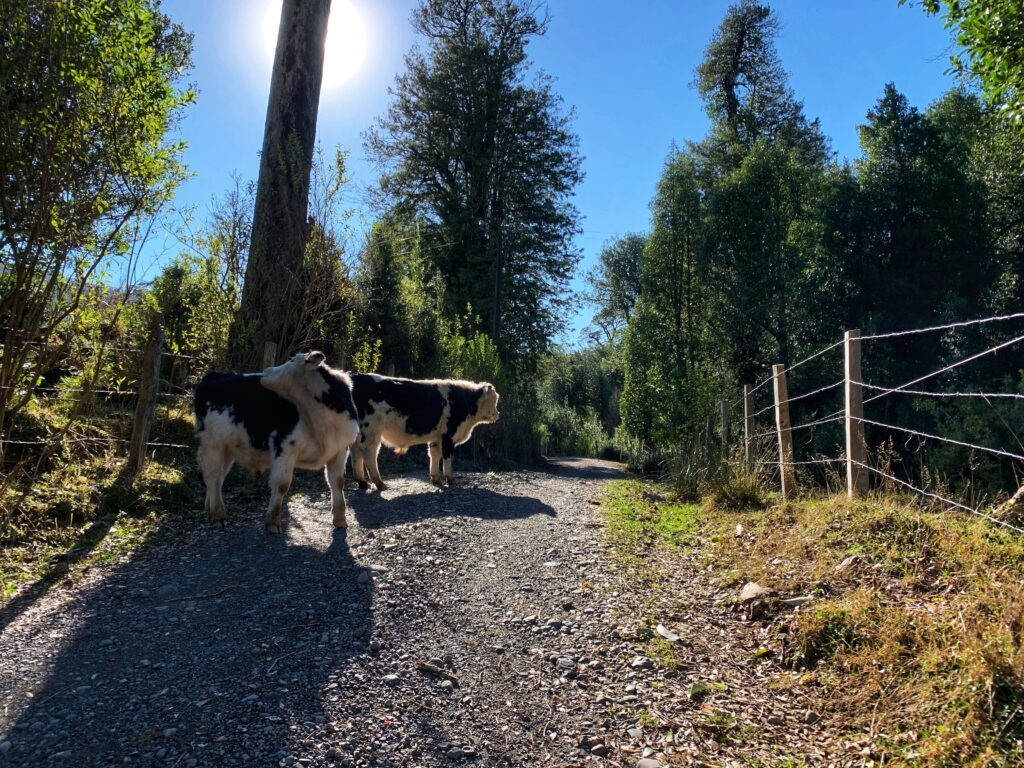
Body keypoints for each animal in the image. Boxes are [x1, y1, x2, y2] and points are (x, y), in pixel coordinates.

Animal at [193, 351, 360, 533]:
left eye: (291, 360)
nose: (267, 371)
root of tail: (213, 375)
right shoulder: (285, 447)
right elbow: (282, 484)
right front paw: (272, 522)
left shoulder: (340, 450)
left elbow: (338, 482)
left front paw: (340, 519)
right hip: (212, 443)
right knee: (212, 476)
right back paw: (217, 515)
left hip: (226, 448)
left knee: (218, 478)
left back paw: (211, 510)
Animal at [348, 374, 500, 489]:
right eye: (494, 400)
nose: (498, 414)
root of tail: (357, 377)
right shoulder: (448, 436)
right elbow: (447, 458)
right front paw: (450, 480)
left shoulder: (436, 438)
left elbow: (434, 455)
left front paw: (436, 479)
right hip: (371, 431)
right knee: (369, 453)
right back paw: (379, 483)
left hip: (360, 433)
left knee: (356, 452)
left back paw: (362, 482)